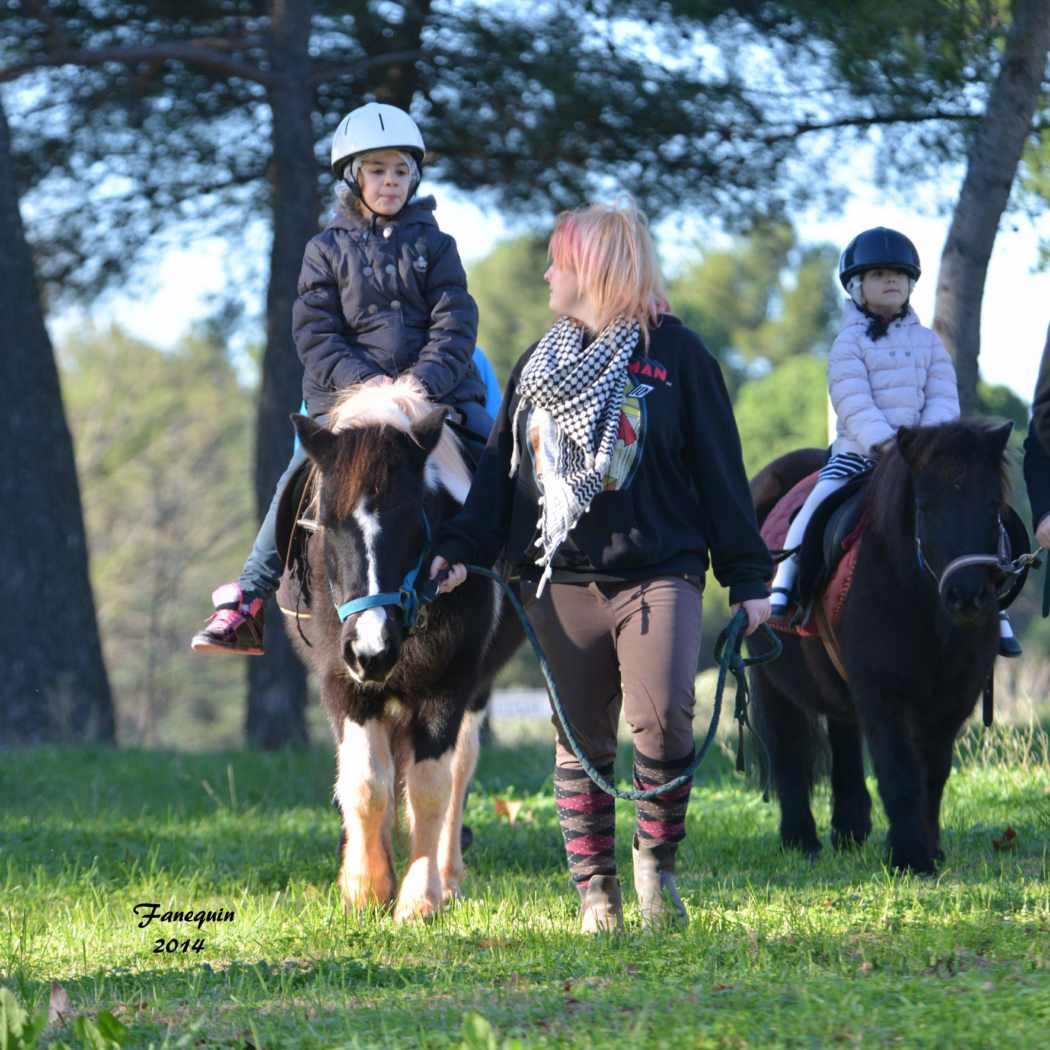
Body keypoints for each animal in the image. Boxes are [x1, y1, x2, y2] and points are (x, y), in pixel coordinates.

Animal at [285, 380, 518, 919]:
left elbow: (431, 787)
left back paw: (448, 878)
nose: (372, 650)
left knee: (459, 770)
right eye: (328, 521)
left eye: (414, 518)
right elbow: (367, 783)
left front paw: (419, 897)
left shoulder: (450, 685)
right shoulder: (343, 684)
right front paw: (366, 887)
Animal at [751, 422, 1012, 873]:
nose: (967, 597)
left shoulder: (953, 698)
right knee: (788, 748)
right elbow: (899, 773)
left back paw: (849, 830)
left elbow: (933, 774)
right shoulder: (883, 695)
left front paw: (928, 847)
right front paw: (909, 856)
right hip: (769, 679)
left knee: (842, 735)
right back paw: (800, 839)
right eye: (924, 506)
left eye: (993, 502)